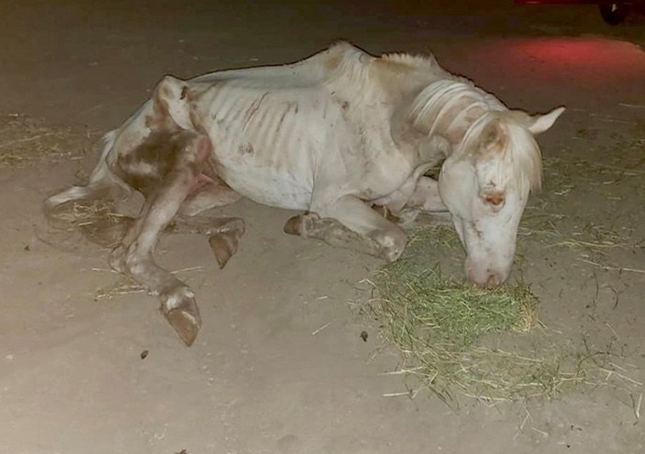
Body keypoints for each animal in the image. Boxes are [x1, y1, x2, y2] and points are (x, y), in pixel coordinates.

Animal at [44, 43, 564, 348]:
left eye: (523, 198)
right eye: (494, 196)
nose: (492, 281)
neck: (392, 121)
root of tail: (118, 135)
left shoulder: (414, 187)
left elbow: (410, 215)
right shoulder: (335, 199)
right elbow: (392, 239)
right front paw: (311, 226)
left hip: (216, 189)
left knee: (159, 224)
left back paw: (225, 235)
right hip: (189, 155)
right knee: (130, 253)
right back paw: (180, 301)